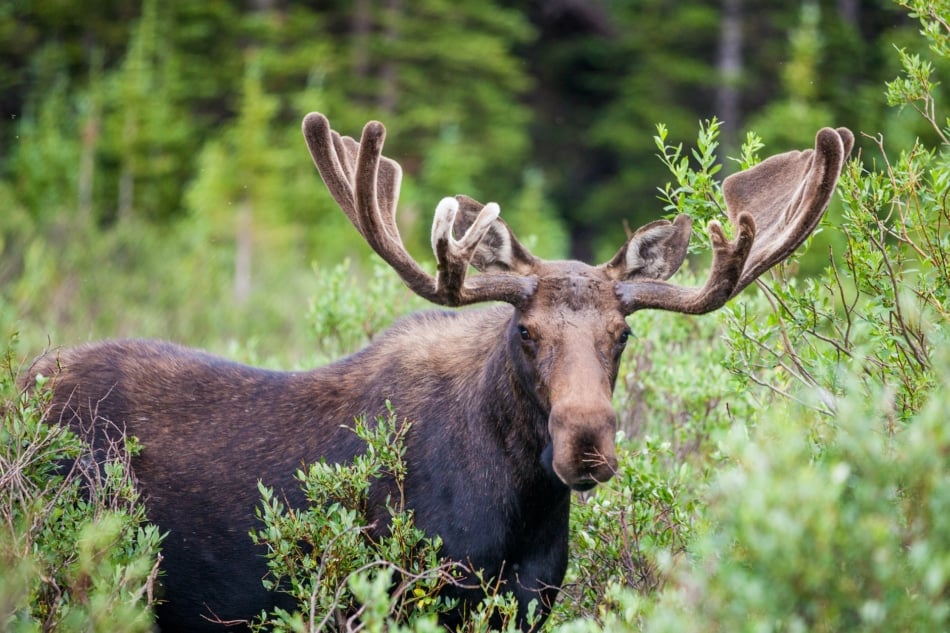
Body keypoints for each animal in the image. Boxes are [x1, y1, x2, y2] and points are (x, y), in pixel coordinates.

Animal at [24, 115, 856, 632]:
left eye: (621, 334)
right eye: (525, 330)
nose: (587, 442)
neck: (517, 515)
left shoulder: (528, 602)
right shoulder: (394, 591)